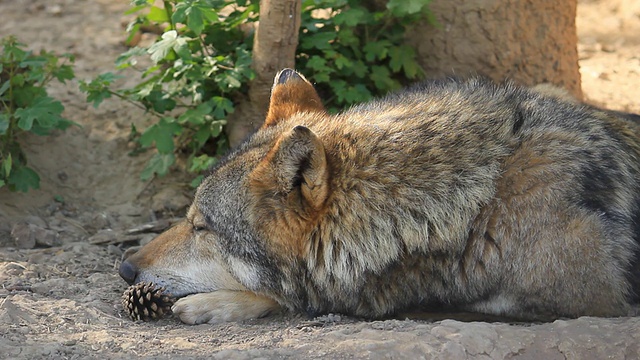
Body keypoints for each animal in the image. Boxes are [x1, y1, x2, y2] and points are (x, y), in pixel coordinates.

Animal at [119, 69, 640, 324]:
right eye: (188, 219)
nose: (124, 268)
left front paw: (215, 304)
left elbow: (303, 297)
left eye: (201, 227)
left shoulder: (596, 301)